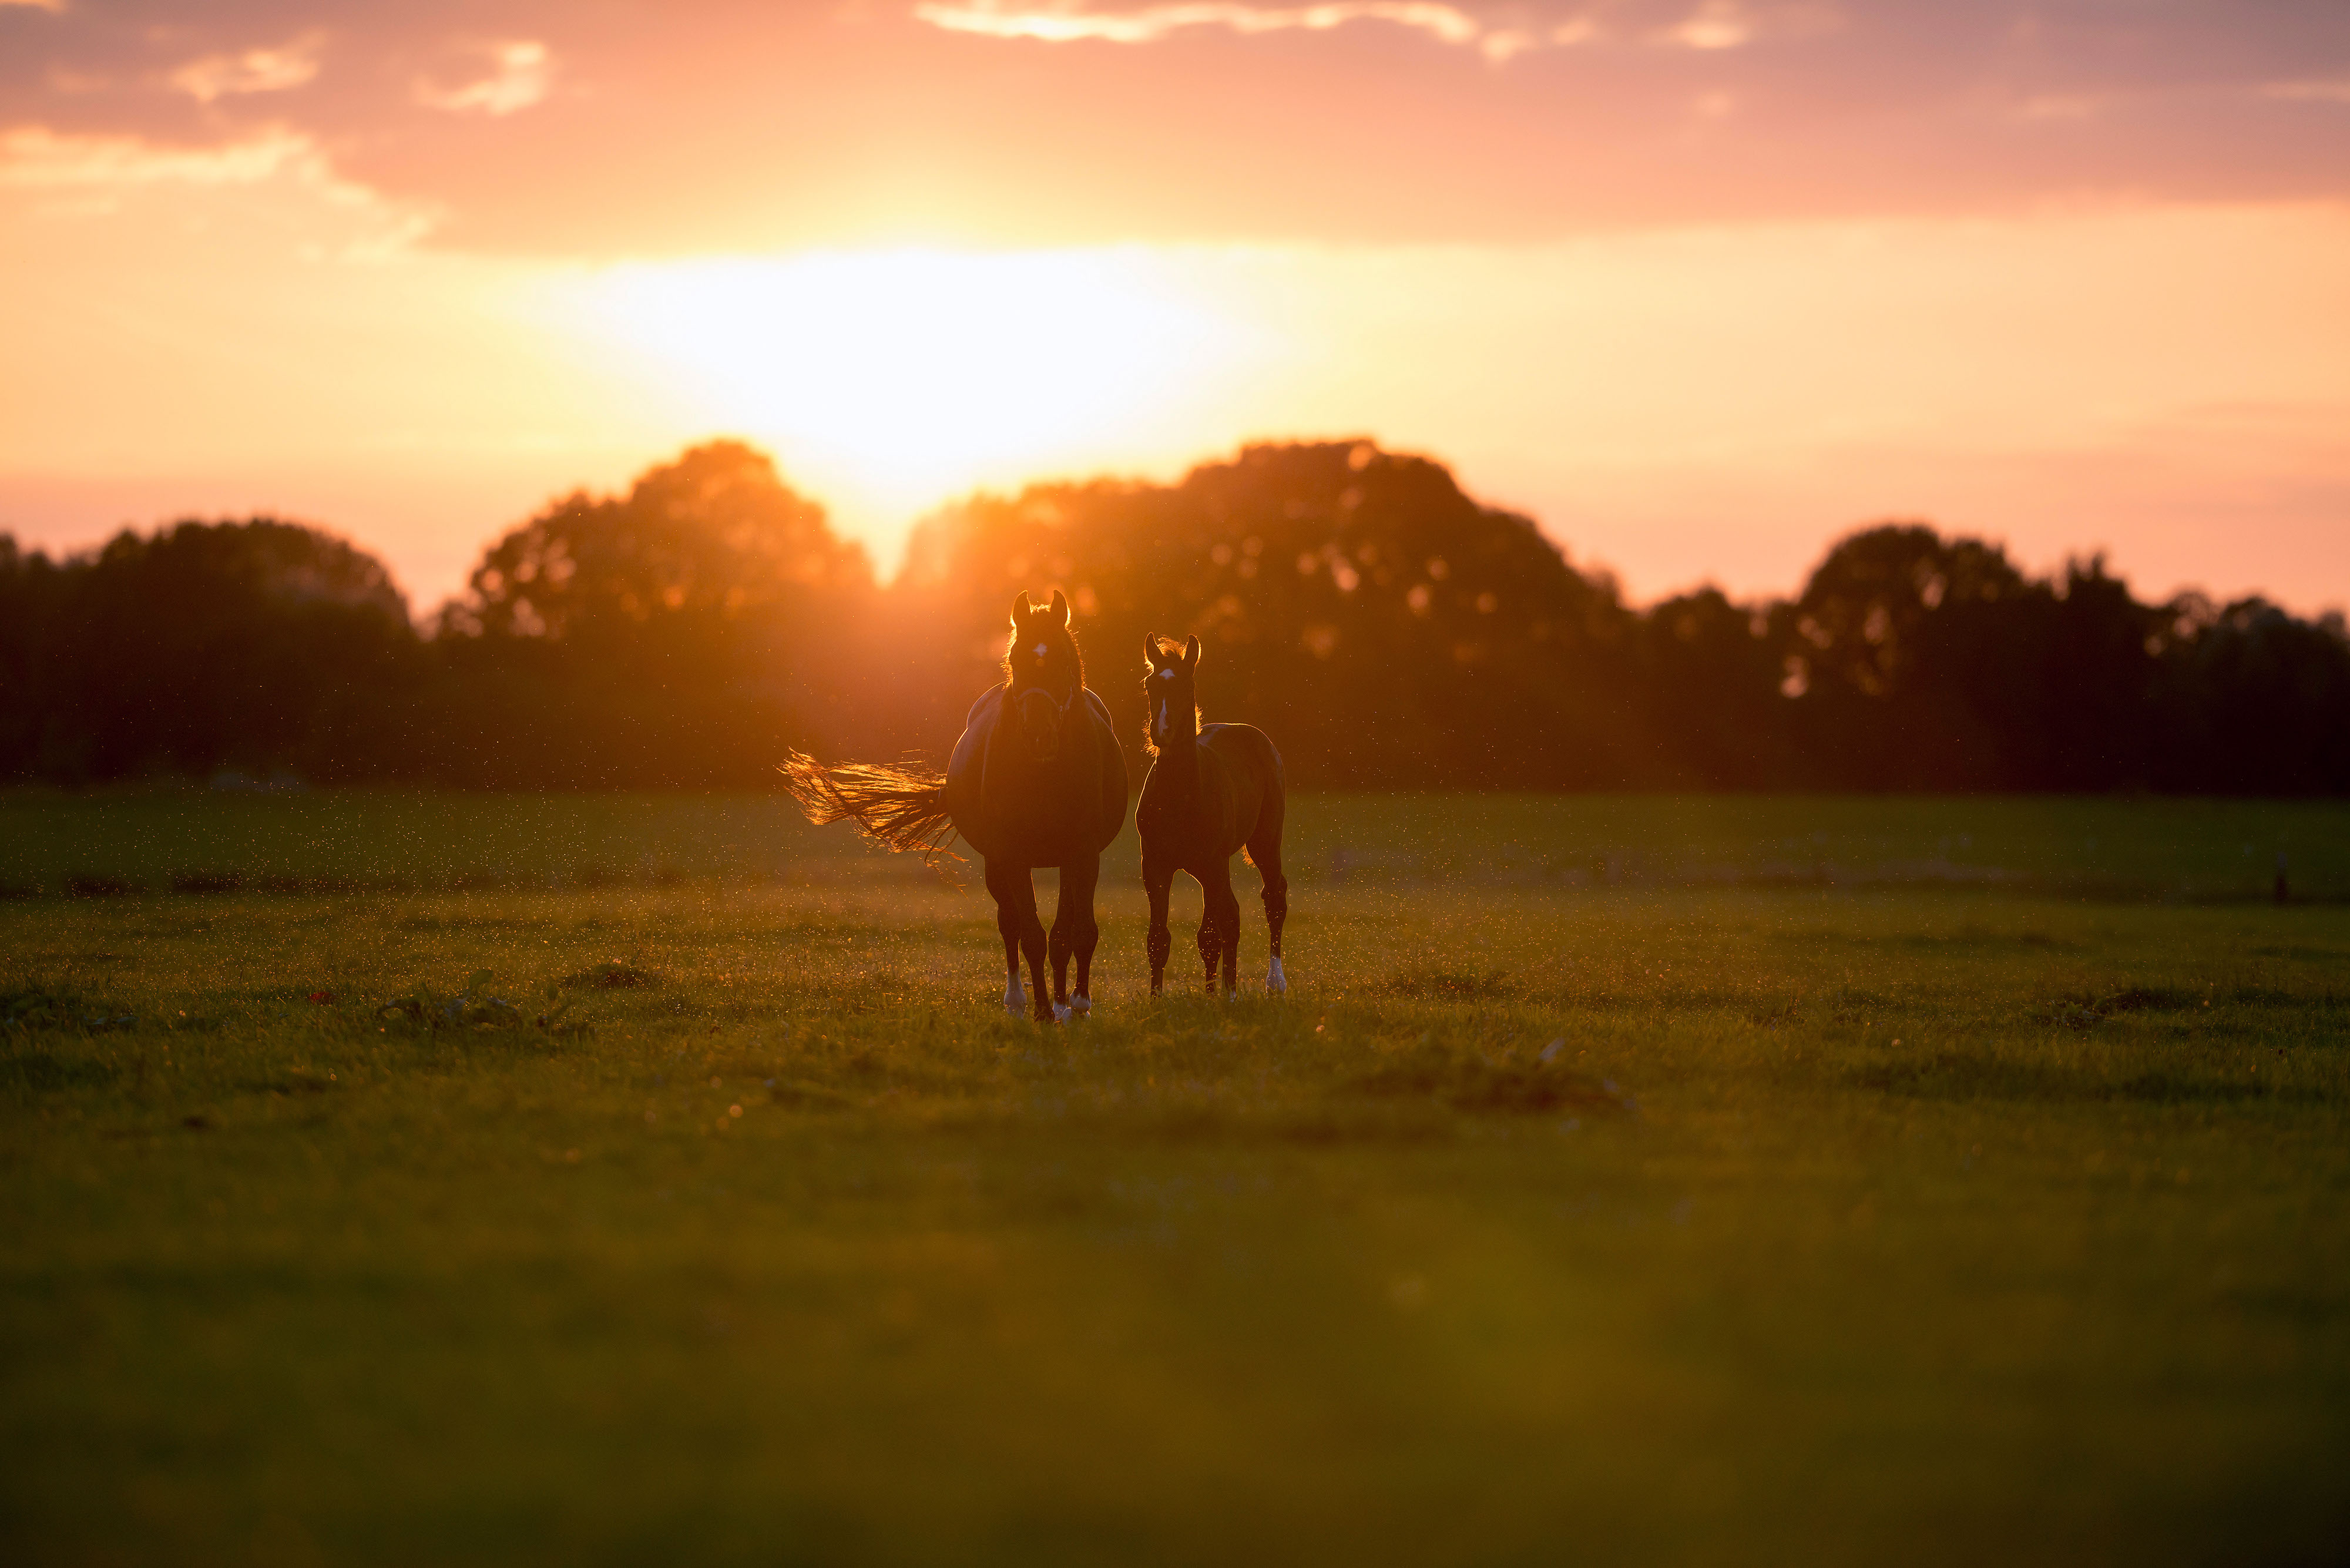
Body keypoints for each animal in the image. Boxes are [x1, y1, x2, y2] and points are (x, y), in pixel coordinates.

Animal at [780, 590, 1129, 1023]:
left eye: (1064, 661)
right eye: (1016, 662)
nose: (1039, 736)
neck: (1044, 774)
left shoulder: (1083, 853)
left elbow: (1077, 932)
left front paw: (1077, 1006)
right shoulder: (1013, 855)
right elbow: (1031, 934)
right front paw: (1043, 1011)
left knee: (1059, 931)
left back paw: (1064, 1004)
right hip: (997, 863)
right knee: (1010, 924)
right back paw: (1018, 1001)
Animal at [1136, 633, 1288, 998]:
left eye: (1188, 685)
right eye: (1150, 684)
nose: (1161, 732)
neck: (1179, 797)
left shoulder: (1213, 862)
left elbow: (1227, 923)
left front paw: (1230, 995)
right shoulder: (1155, 866)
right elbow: (1159, 938)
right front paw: (1155, 998)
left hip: (1262, 843)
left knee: (1271, 898)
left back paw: (1273, 982)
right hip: (1210, 869)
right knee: (1213, 927)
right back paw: (1210, 991)